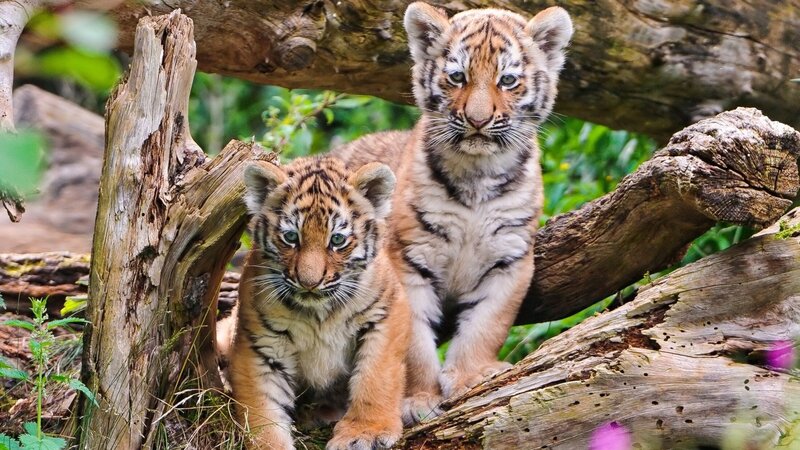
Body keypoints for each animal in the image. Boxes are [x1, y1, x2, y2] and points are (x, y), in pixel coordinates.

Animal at [228, 156, 410, 450]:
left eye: (337, 240)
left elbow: (376, 377)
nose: (309, 282)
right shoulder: (260, 345)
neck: (319, 313)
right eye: (291, 237)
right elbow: (264, 410)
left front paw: (365, 432)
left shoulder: (386, 314)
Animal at [332, 2, 573, 424]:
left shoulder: (510, 260)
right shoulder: (408, 260)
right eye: (457, 77)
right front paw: (417, 399)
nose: (477, 120)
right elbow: (413, 342)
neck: (478, 175)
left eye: (508, 80)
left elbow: (486, 325)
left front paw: (469, 377)